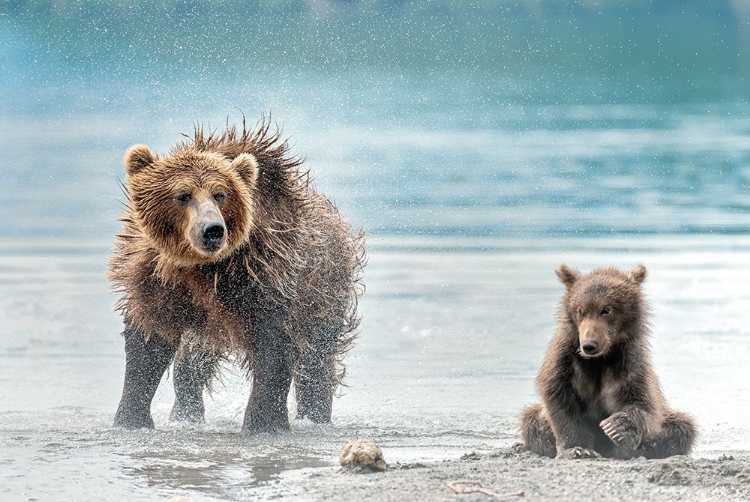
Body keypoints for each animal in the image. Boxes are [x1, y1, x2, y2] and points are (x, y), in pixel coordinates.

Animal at [110, 119, 366, 434]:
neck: (203, 269)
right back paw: (186, 414)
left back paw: (315, 414)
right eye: (183, 195)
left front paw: (264, 422)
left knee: (315, 359)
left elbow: (274, 347)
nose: (212, 229)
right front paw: (129, 419)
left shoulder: (265, 275)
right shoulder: (157, 280)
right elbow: (148, 342)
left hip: (323, 291)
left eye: (220, 194)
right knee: (191, 363)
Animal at [520, 264, 696, 460]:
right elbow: (559, 398)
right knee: (530, 421)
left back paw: (635, 449)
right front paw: (578, 449)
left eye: (606, 309)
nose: (589, 345)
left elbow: (644, 401)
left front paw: (617, 428)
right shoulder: (566, 361)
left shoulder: (630, 363)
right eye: (580, 310)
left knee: (682, 427)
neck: (599, 359)